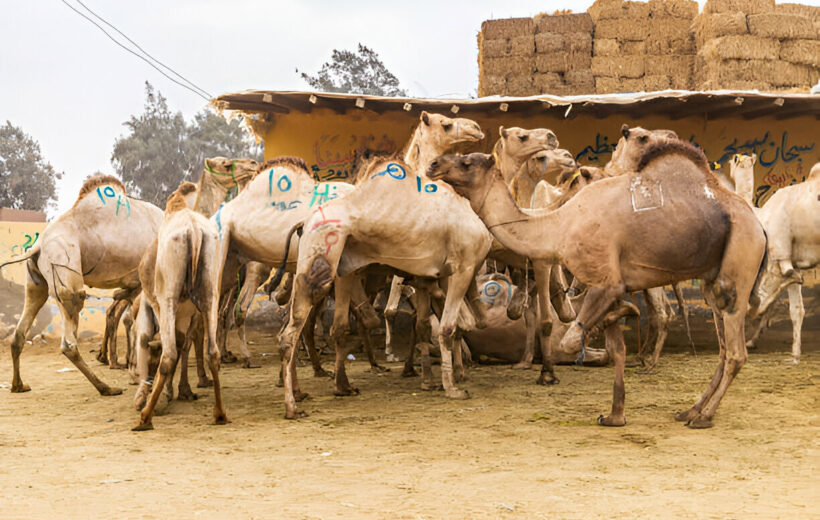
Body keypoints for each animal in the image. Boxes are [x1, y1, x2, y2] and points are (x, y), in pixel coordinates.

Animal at [0, 175, 163, 394]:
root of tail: (38, 245)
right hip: (66, 273)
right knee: (69, 340)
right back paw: (106, 387)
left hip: (35, 281)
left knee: (20, 332)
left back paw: (19, 385)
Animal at [132, 186, 227, 430]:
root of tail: (193, 230)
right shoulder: (191, 314)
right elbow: (185, 343)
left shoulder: (153, 303)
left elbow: (149, 340)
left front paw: (150, 395)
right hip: (210, 294)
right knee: (212, 351)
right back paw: (220, 414)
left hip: (169, 297)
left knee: (169, 354)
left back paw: (145, 417)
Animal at [276, 154, 494, 418]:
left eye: (467, 162)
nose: (434, 165)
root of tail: (303, 223)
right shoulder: (463, 267)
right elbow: (448, 327)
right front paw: (452, 388)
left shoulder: (431, 276)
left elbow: (431, 324)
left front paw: (435, 380)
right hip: (321, 259)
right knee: (290, 333)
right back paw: (293, 406)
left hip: (332, 267)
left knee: (308, 328)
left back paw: (325, 390)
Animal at [430, 137, 768, 426]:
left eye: (466, 162)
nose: (434, 164)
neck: (560, 225)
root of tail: (759, 225)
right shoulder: (609, 284)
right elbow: (616, 348)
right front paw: (615, 415)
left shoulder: (607, 283)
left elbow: (571, 339)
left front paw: (616, 320)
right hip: (713, 284)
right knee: (723, 349)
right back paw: (691, 409)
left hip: (740, 264)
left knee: (736, 353)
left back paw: (704, 417)